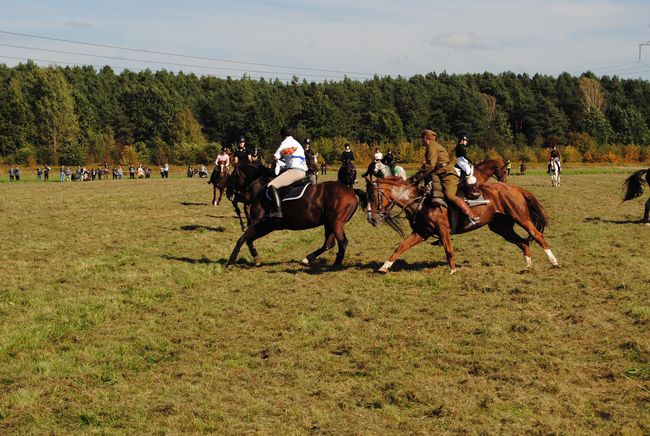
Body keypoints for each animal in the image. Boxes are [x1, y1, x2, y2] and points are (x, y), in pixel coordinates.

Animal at [225, 162, 360, 268]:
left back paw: (335, 265)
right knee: (329, 244)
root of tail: (352, 191)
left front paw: (230, 262)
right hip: (329, 223)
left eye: (231, 176)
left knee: (342, 242)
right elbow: (249, 240)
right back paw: (307, 259)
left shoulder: (257, 224)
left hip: (336, 222)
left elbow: (241, 239)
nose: (228, 194)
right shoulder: (267, 226)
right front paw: (257, 259)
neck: (261, 189)